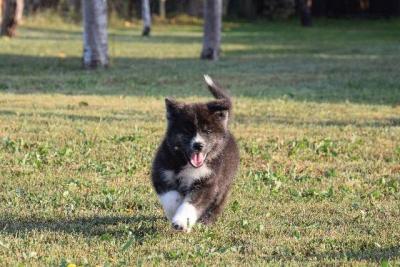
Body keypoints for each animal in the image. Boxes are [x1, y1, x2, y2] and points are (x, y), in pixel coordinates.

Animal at [151, 75, 239, 232]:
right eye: (187, 131)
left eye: (208, 131)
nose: (198, 145)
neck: (186, 163)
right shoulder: (161, 173)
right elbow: (171, 197)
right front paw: (174, 211)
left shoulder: (207, 181)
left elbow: (192, 203)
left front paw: (181, 222)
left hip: (225, 181)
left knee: (218, 202)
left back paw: (207, 221)